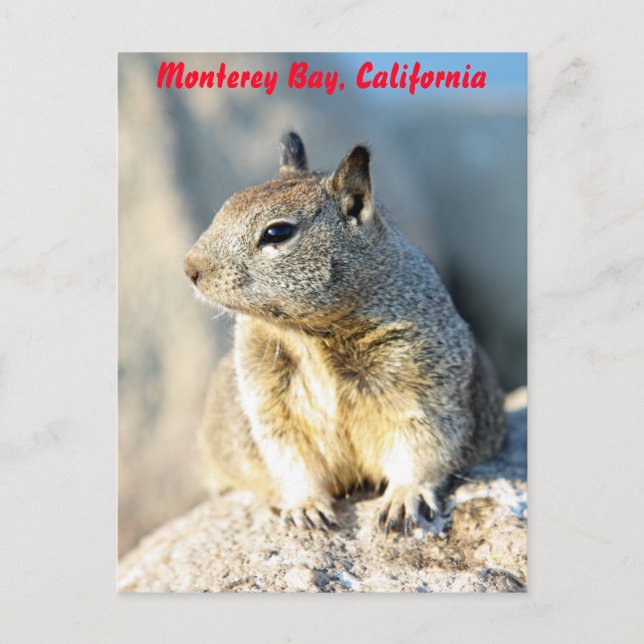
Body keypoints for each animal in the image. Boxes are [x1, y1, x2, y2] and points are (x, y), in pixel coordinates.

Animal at [183, 132, 506, 534]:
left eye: (277, 232)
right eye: (224, 208)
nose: (189, 268)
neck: (308, 335)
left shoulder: (425, 384)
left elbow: (422, 446)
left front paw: (404, 497)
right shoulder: (268, 401)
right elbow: (291, 458)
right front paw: (306, 506)